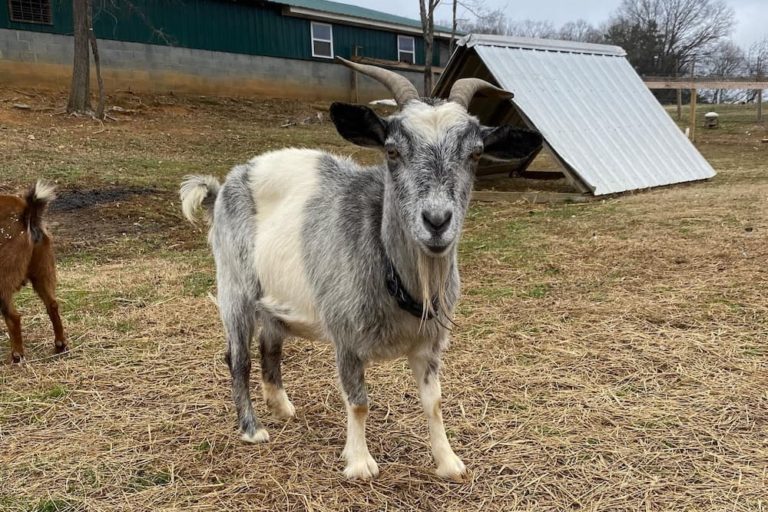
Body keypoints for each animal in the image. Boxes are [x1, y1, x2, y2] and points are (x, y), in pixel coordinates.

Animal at [0, 182, 66, 362]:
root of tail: (27, 214)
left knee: (13, 317)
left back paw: (17, 355)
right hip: (41, 271)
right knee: (52, 304)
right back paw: (60, 345)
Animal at [180, 60, 540, 480]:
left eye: (476, 153)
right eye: (392, 150)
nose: (436, 221)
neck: (397, 278)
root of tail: (225, 185)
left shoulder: (430, 343)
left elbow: (433, 402)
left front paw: (448, 462)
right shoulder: (346, 336)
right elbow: (358, 401)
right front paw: (360, 462)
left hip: (275, 299)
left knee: (271, 346)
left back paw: (282, 407)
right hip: (234, 287)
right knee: (238, 357)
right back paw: (252, 428)